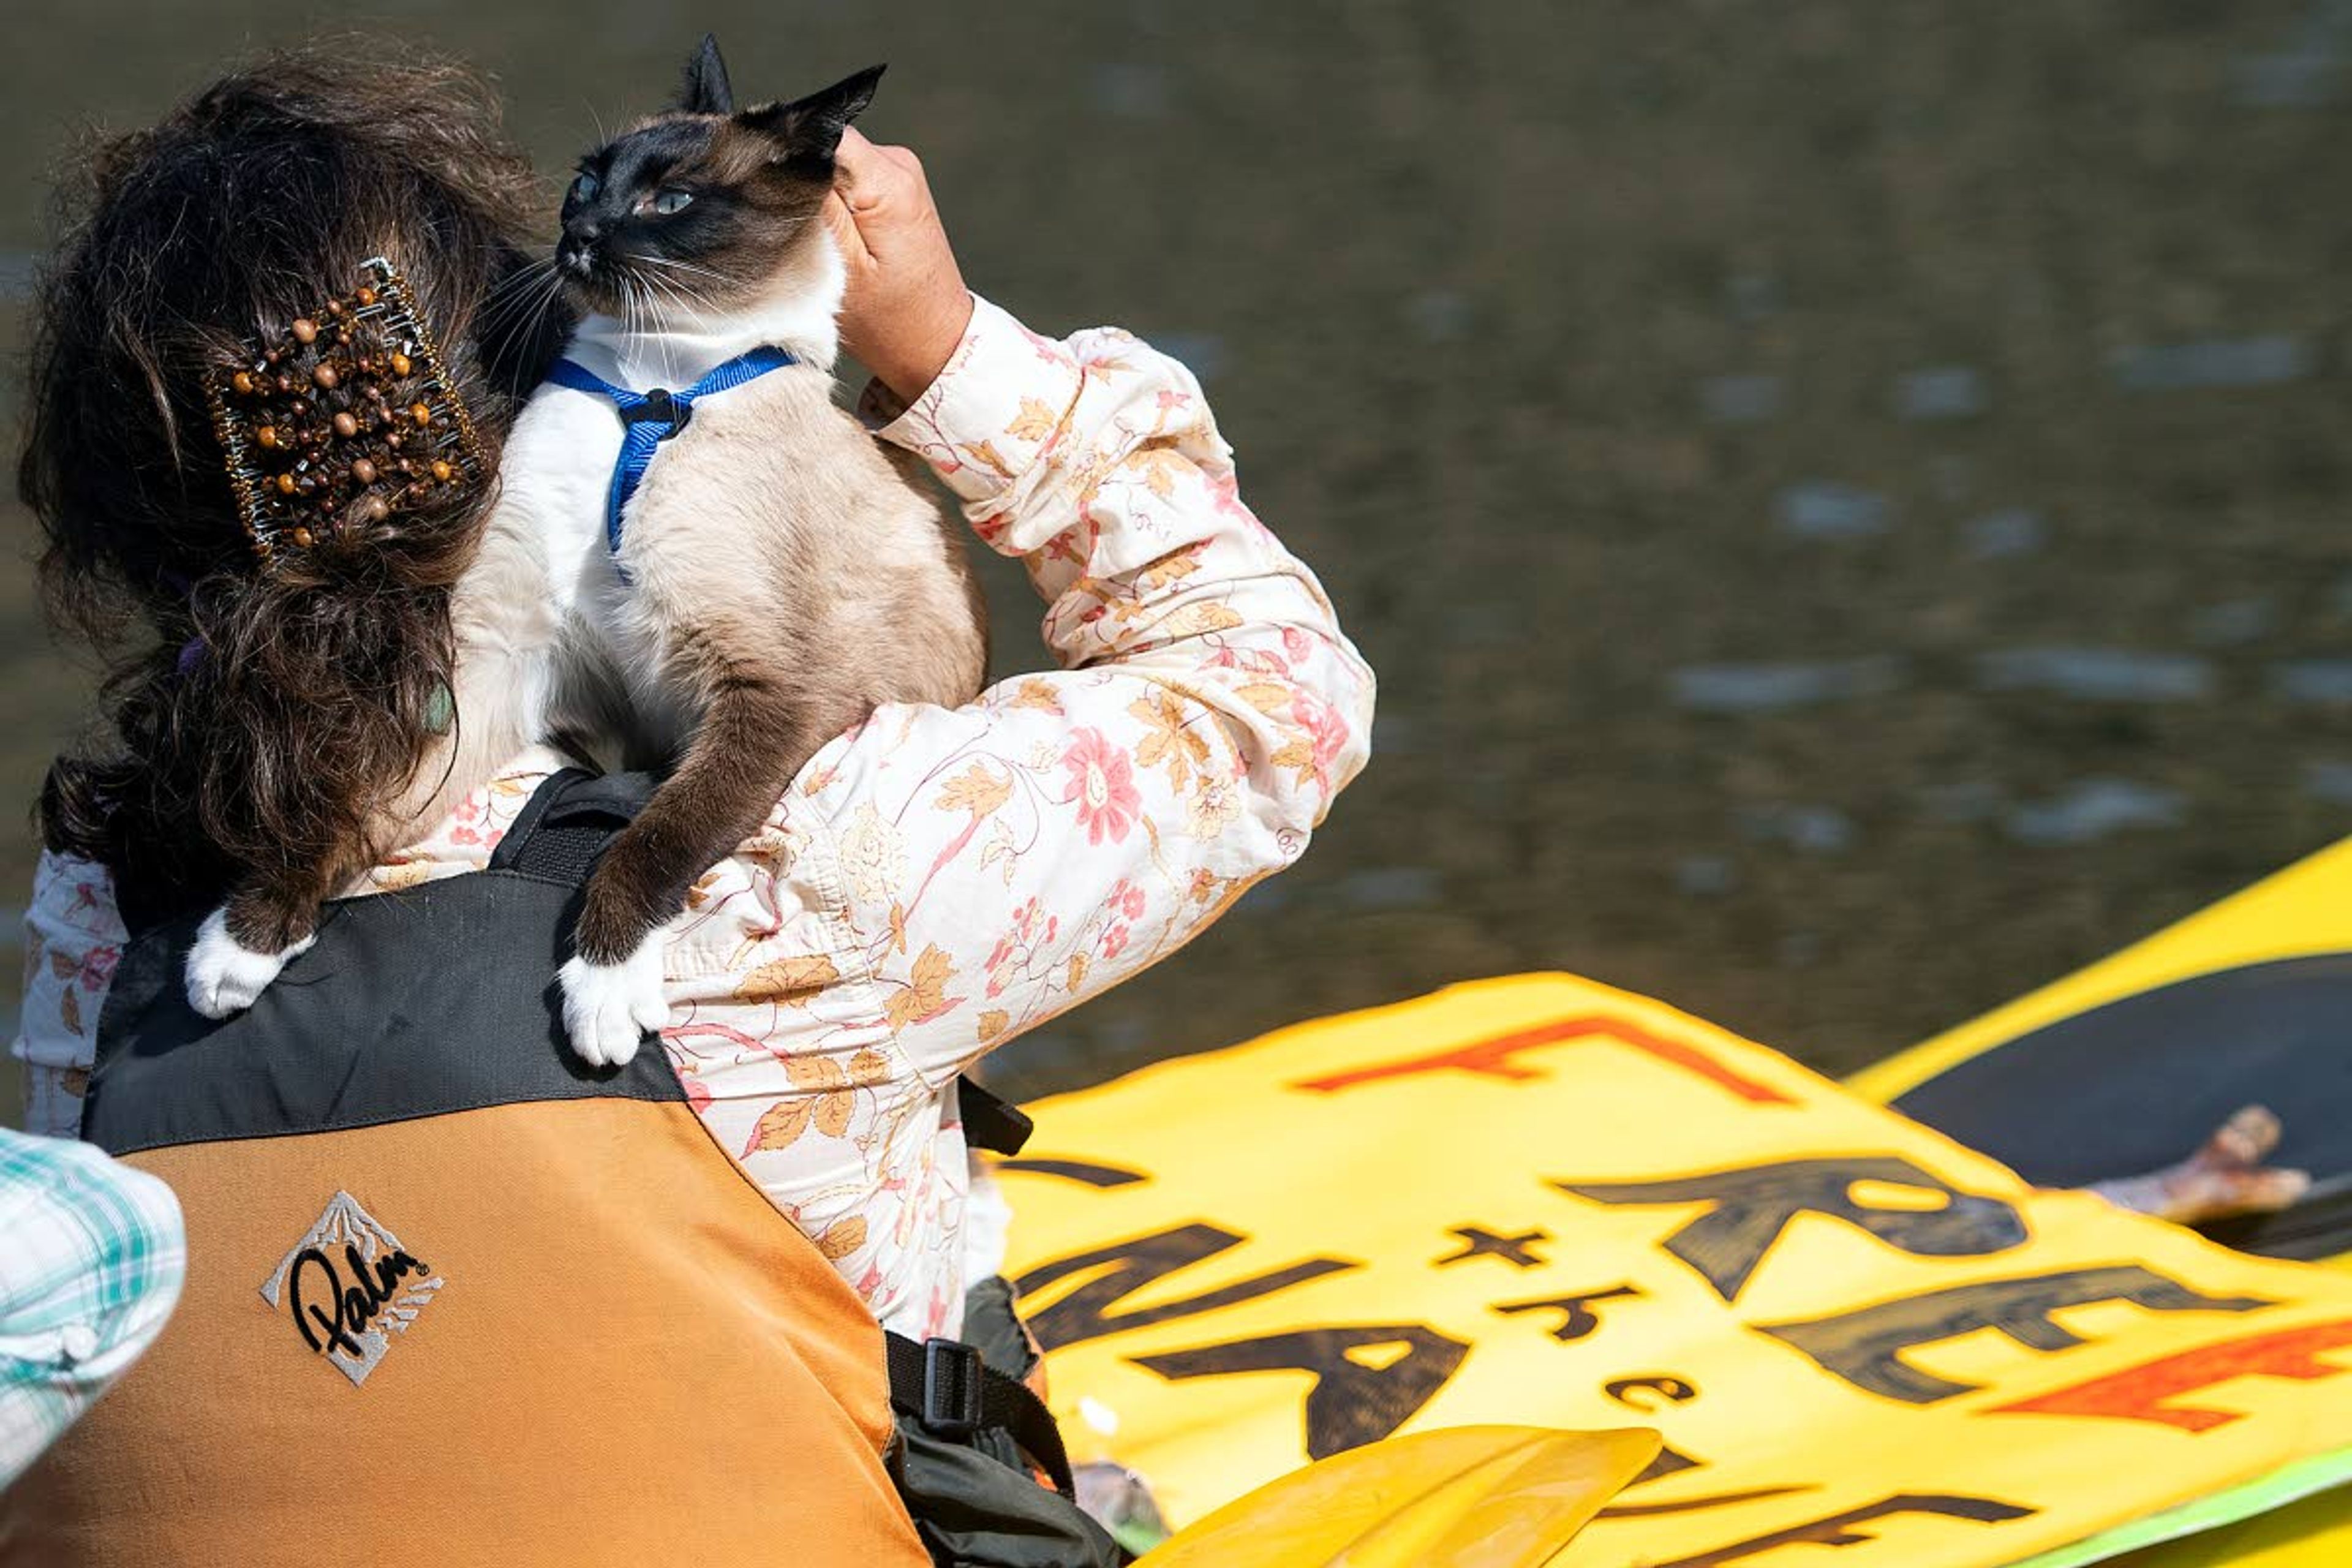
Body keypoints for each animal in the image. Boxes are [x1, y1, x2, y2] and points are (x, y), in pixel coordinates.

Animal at [188, 40, 987, 1067]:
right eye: (585, 184)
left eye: (669, 201)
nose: (581, 236)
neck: (644, 393)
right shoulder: (501, 662)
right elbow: (362, 801)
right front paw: (241, 947)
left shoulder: (770, 694)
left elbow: (653, 838)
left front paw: (601, 992)